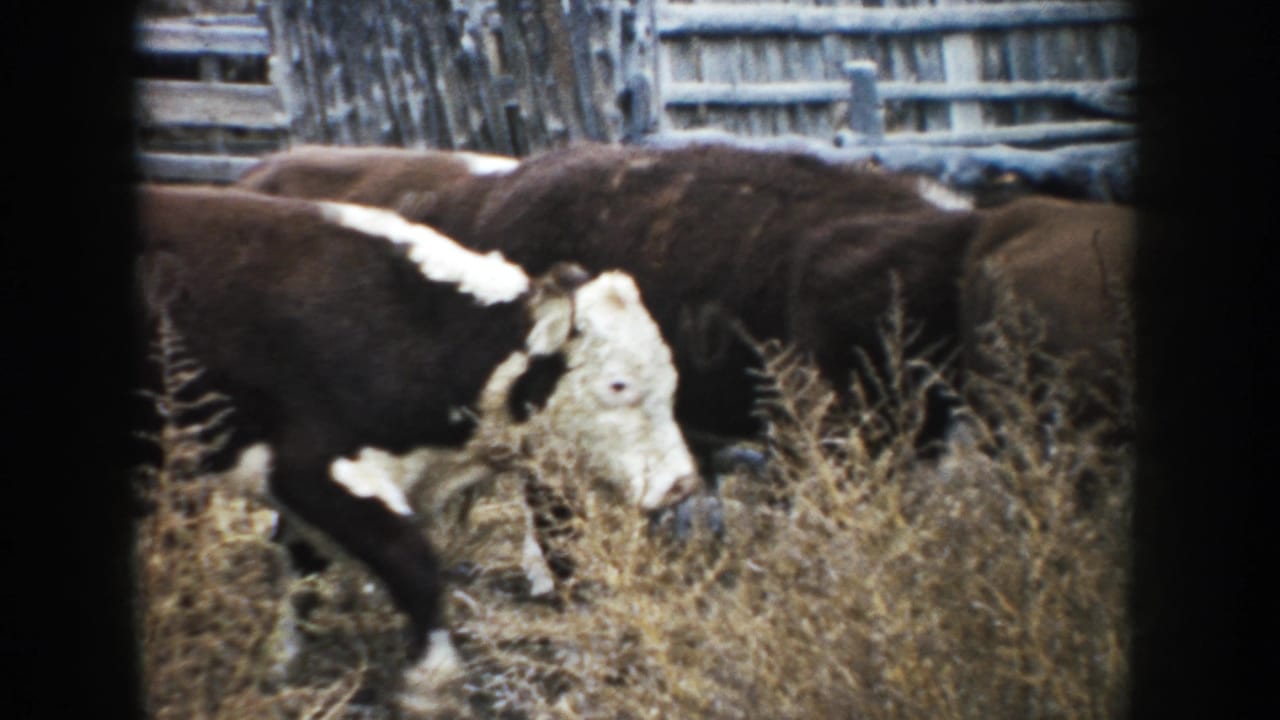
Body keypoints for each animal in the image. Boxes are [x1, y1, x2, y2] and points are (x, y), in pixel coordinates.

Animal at [135, 184, 699, 693]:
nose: (680, 482)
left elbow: (305, 577)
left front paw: (283, 660)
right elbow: (413, 563)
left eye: (670, 378)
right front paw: (433, 674)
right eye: (618, 384)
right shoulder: (316, 473)